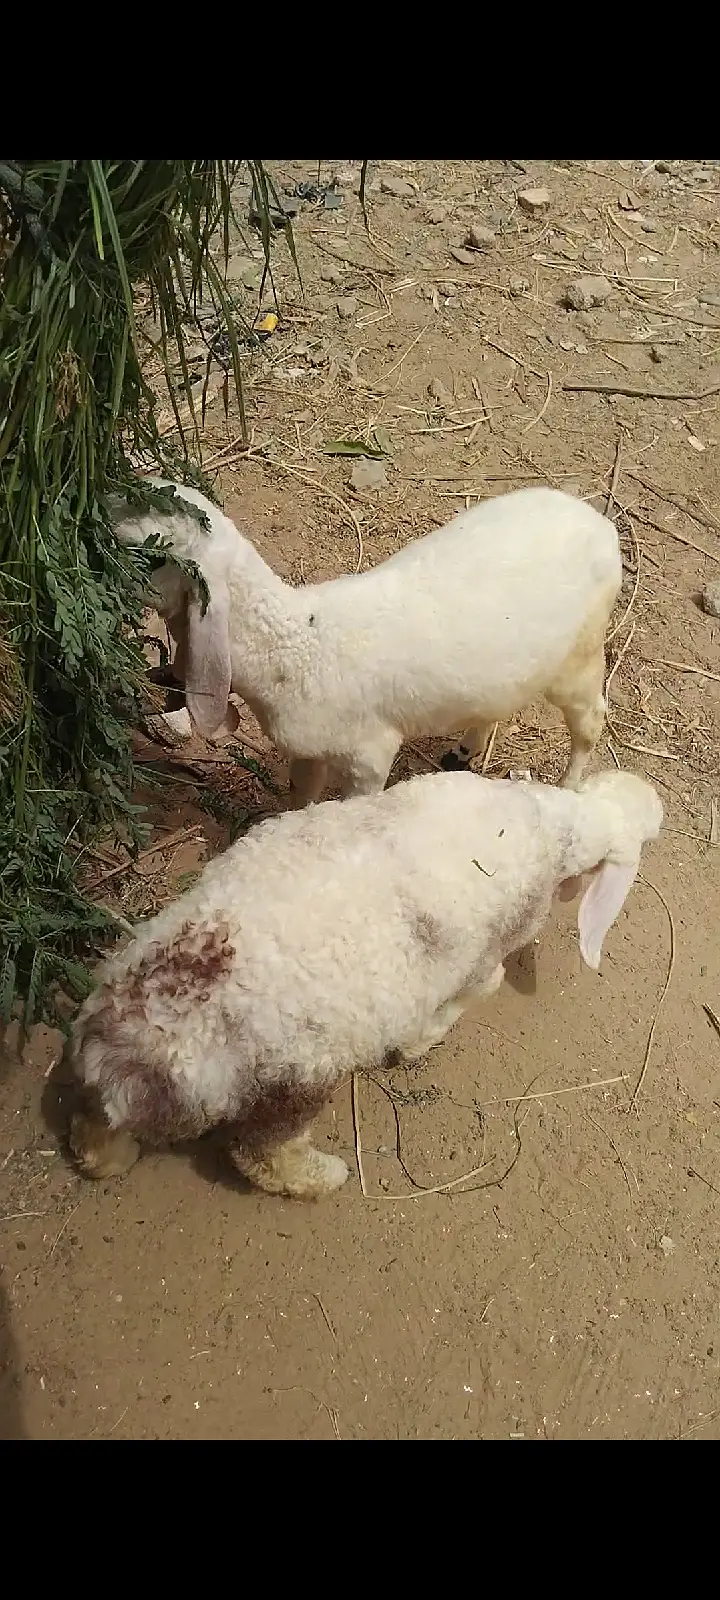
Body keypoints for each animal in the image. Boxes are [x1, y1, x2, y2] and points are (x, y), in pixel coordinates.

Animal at [69, 767, 662, 1201]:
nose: (652, 805)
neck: (559, 829)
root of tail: (135, 1057)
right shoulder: (488, 954)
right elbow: (482, 988)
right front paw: (419, 1043)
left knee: (93, 1136)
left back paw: (105, 1153)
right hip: (297, 1082)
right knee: (259, 1156)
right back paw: (325, 1177)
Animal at [112, 480, 622, 802]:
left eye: (150, 554)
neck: (299, 645)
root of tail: (603, 527)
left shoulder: (369, 757)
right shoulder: (308, 752)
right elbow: (299, 799)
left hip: (581, 653)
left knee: (591, 718)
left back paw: (570, 785)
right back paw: (464, 750)